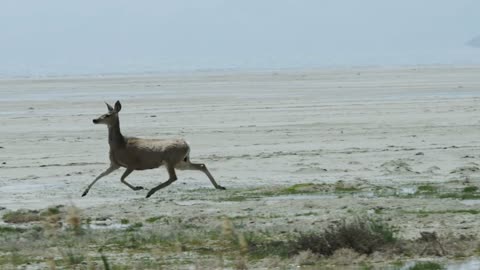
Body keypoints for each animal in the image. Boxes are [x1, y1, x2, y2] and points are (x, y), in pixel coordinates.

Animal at [81, 100, 226, 197]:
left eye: (107, 115)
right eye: (103, 113)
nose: (94, 120)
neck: (120, 144)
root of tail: (187, 144)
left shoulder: (132, 164)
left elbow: (121, 179)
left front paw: (138, 188)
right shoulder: (114, 164)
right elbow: (101, 175)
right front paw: (84, 192)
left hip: (170, 160)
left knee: (173, 178)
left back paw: (150, 192)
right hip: (182, 162)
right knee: (201, 165)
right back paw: (219, 186)